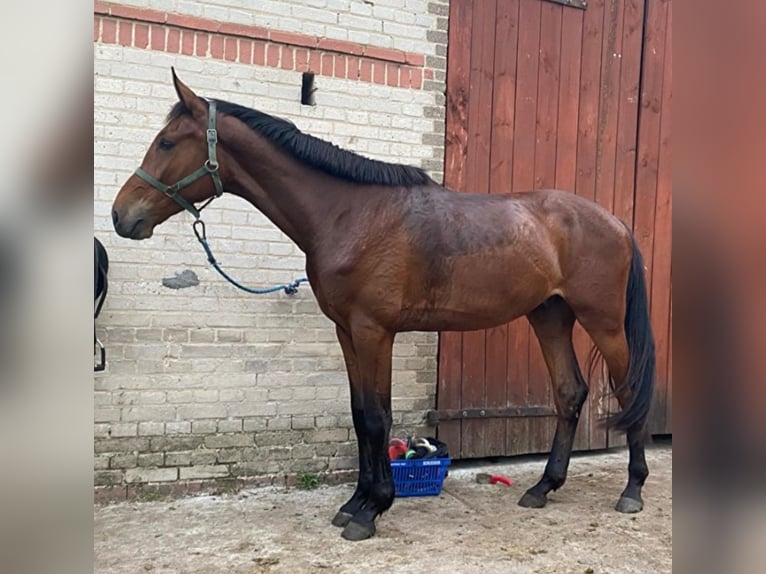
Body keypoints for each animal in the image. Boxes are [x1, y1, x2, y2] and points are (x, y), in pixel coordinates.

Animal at [111, 70, 656, 544]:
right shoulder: (347, 331)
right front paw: (354, 502)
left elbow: (377, 417)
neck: (349, 214)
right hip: (549, 315)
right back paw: (543, 487)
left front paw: (371, 511)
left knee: (628, 392)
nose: (121, 216)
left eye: (166, 143)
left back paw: (632, 490)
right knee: (569, 393)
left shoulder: (375, 331)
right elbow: (359, 415)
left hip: (604, 322)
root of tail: (615, 221)